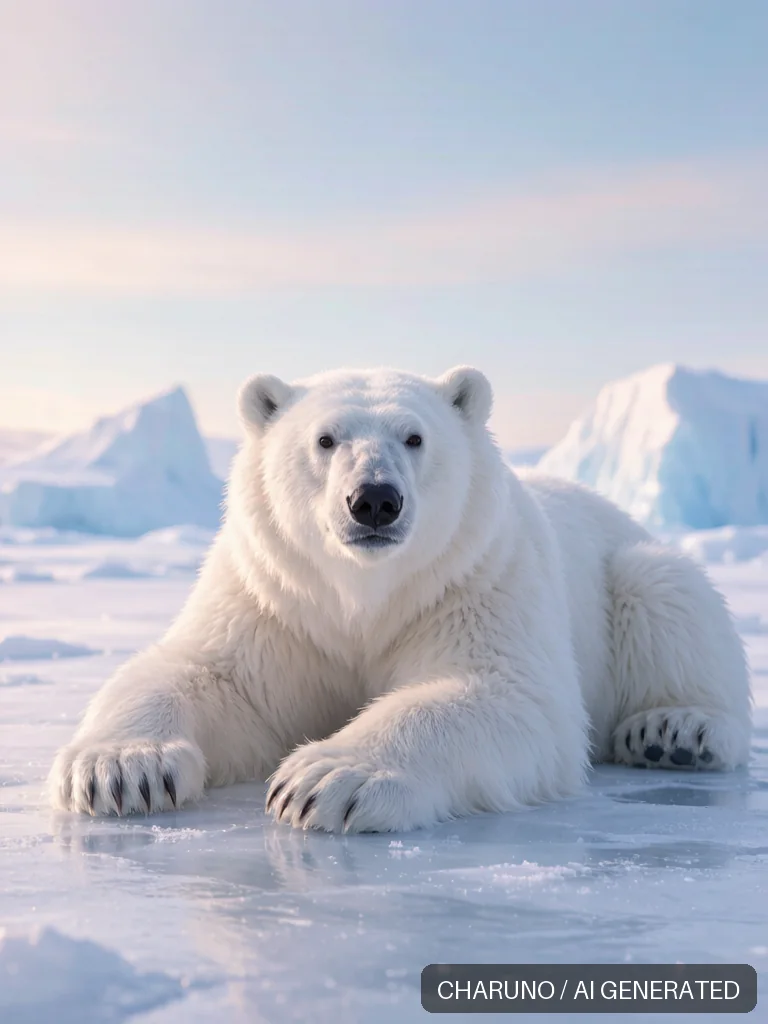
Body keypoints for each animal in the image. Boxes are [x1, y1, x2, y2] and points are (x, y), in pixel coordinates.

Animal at [49, 366, 752, 833]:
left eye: (414, 437)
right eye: (326, 439)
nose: (375, 499)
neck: (365, 595)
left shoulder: (473, 580)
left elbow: (505, 693)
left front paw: (323, 779)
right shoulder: (275, 602)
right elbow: (205, 674)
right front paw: (121, 771)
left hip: (628, 567)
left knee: (665, 592)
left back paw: (672, 731)